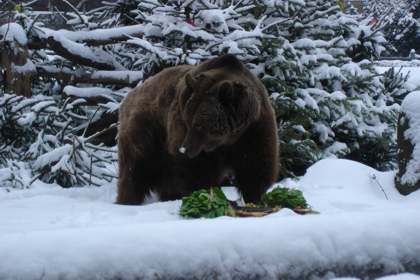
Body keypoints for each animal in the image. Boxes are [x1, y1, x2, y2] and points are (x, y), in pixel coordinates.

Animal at [116, 54, 278, 205]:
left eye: (198, 124)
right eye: (188, 121)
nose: (184, 149)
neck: (227, 139)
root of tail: (131, 95)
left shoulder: (253, 129)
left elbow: (254, 165)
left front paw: (254, 197)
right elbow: (194, 170)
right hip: (147, 129)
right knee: (136, 168)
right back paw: (129, 200)